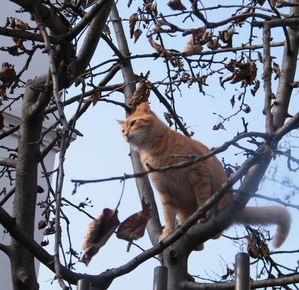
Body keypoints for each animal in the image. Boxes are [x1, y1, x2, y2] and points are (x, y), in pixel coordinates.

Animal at [118, 101, 292, 248]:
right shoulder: (164, 192)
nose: (125, 134)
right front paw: (167, 232)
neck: (153, 151)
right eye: (122, 129)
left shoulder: (199, 173)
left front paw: (203, 215)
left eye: (133, 123)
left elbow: (202, 201)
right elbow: (168, 216)